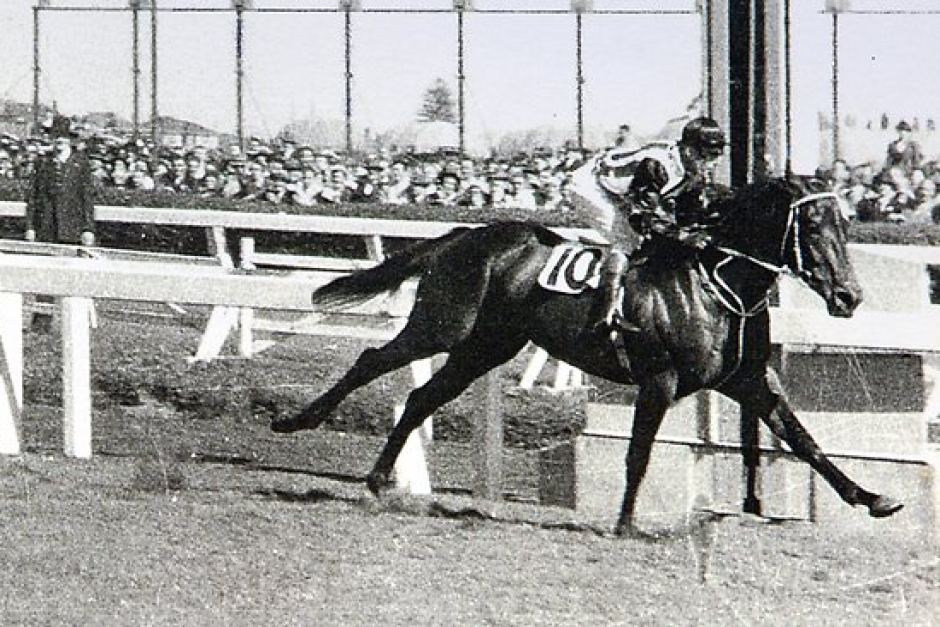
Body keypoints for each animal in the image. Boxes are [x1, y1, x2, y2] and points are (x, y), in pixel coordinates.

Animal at [272, 177, 904, 536]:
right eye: (814, 224)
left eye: (845, 222)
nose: (850, 296)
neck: (717, 282)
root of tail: (463, 236)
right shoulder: (659, 381)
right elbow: (638, 455)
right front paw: (624, 523)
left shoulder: (746, 382)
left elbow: (806, 441)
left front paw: (873, 498)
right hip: (443, 326)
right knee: (372, 361)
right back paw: (296, 421)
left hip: (484, 348)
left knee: (422, 396)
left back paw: (380, 478)